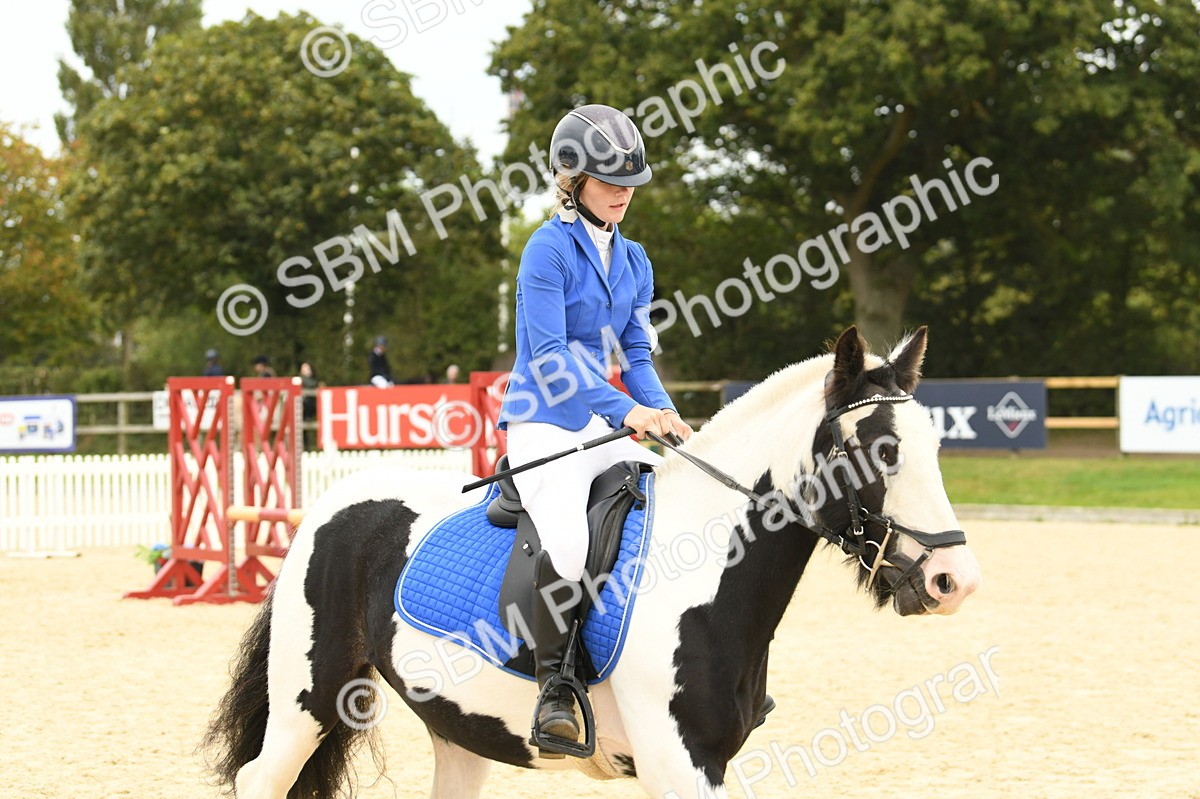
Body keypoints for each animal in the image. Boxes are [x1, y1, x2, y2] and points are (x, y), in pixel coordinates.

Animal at [203, 325, 981, 798]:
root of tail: (328, 507)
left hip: (455, 725)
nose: (953, 581)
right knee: (261, 778)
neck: (704, 572)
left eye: (935, 444)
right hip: (311, 698)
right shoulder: (679, 761)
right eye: (878, 449)